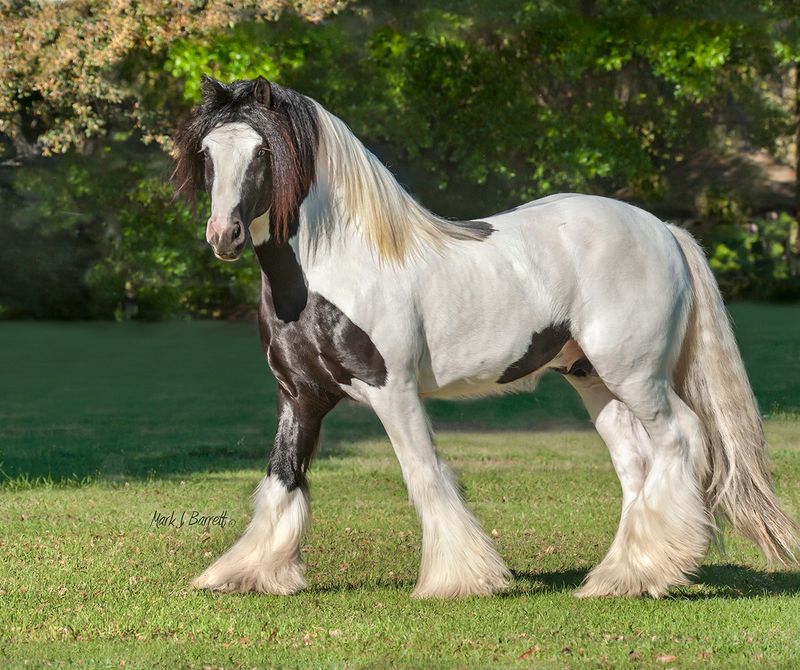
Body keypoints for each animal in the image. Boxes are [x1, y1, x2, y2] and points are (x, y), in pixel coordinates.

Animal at [172, 76, 796, 600]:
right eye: (207, 154)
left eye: (263, 152)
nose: (223, 235)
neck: (333, 272)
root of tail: (662, 229)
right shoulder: (299, 397)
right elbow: (283, 479)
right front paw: (247, 573)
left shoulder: (392, 390)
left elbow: (425, 475)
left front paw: (459, 580)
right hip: (593, 381)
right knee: (638, 467)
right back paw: (621, 577)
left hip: (637, 376)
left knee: (680, 440)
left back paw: (658, 569)